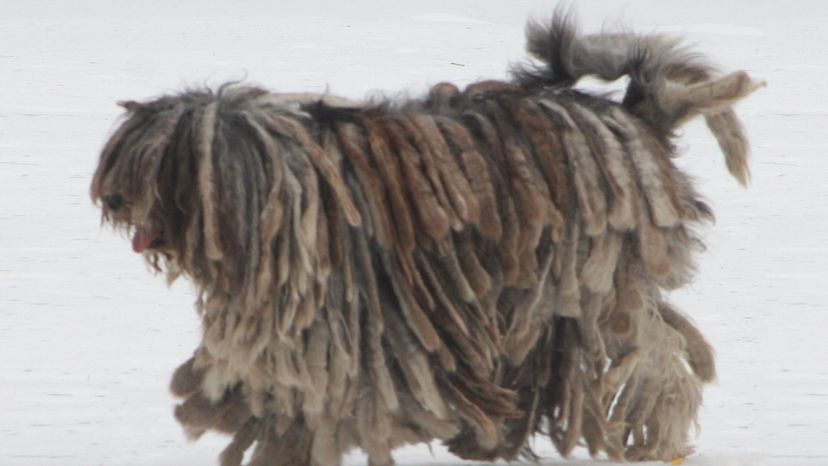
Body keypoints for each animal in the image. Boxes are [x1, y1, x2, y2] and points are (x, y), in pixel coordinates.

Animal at [92, 11, 764, 466]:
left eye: (159, 167)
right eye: (126, 160)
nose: (114, 200)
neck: (286, 195)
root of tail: (631, 113)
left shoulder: (353, 333)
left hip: (595, 284)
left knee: (657, 360)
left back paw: (656, 437)